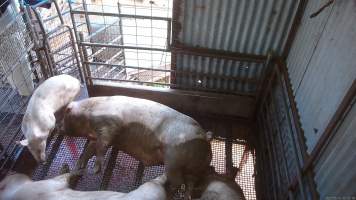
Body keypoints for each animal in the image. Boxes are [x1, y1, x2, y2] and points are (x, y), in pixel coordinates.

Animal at [61, 96, 213, 199]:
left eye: (64, 116)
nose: (58, 128)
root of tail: (205, 137)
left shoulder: (110, 123)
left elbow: (102, 145)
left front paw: (95, 170)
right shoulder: (96, 137)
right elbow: (90, 149)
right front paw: (80, 165)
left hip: (173, 159)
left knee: (178, 181)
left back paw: (170, 192)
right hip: (194, 167)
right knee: (190, 182)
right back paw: (186, 195)